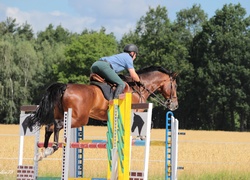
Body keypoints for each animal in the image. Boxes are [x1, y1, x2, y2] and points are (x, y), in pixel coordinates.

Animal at [24, 65, 178, 160]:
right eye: (175, 85)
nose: (174, 105)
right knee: (57, 125)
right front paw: (141, 137)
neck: (138, 89)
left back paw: (43, 152)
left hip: (63, 114)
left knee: (49, 126)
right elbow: (147, 124)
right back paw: (52, 148)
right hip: (79, 118)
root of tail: (65, 87)